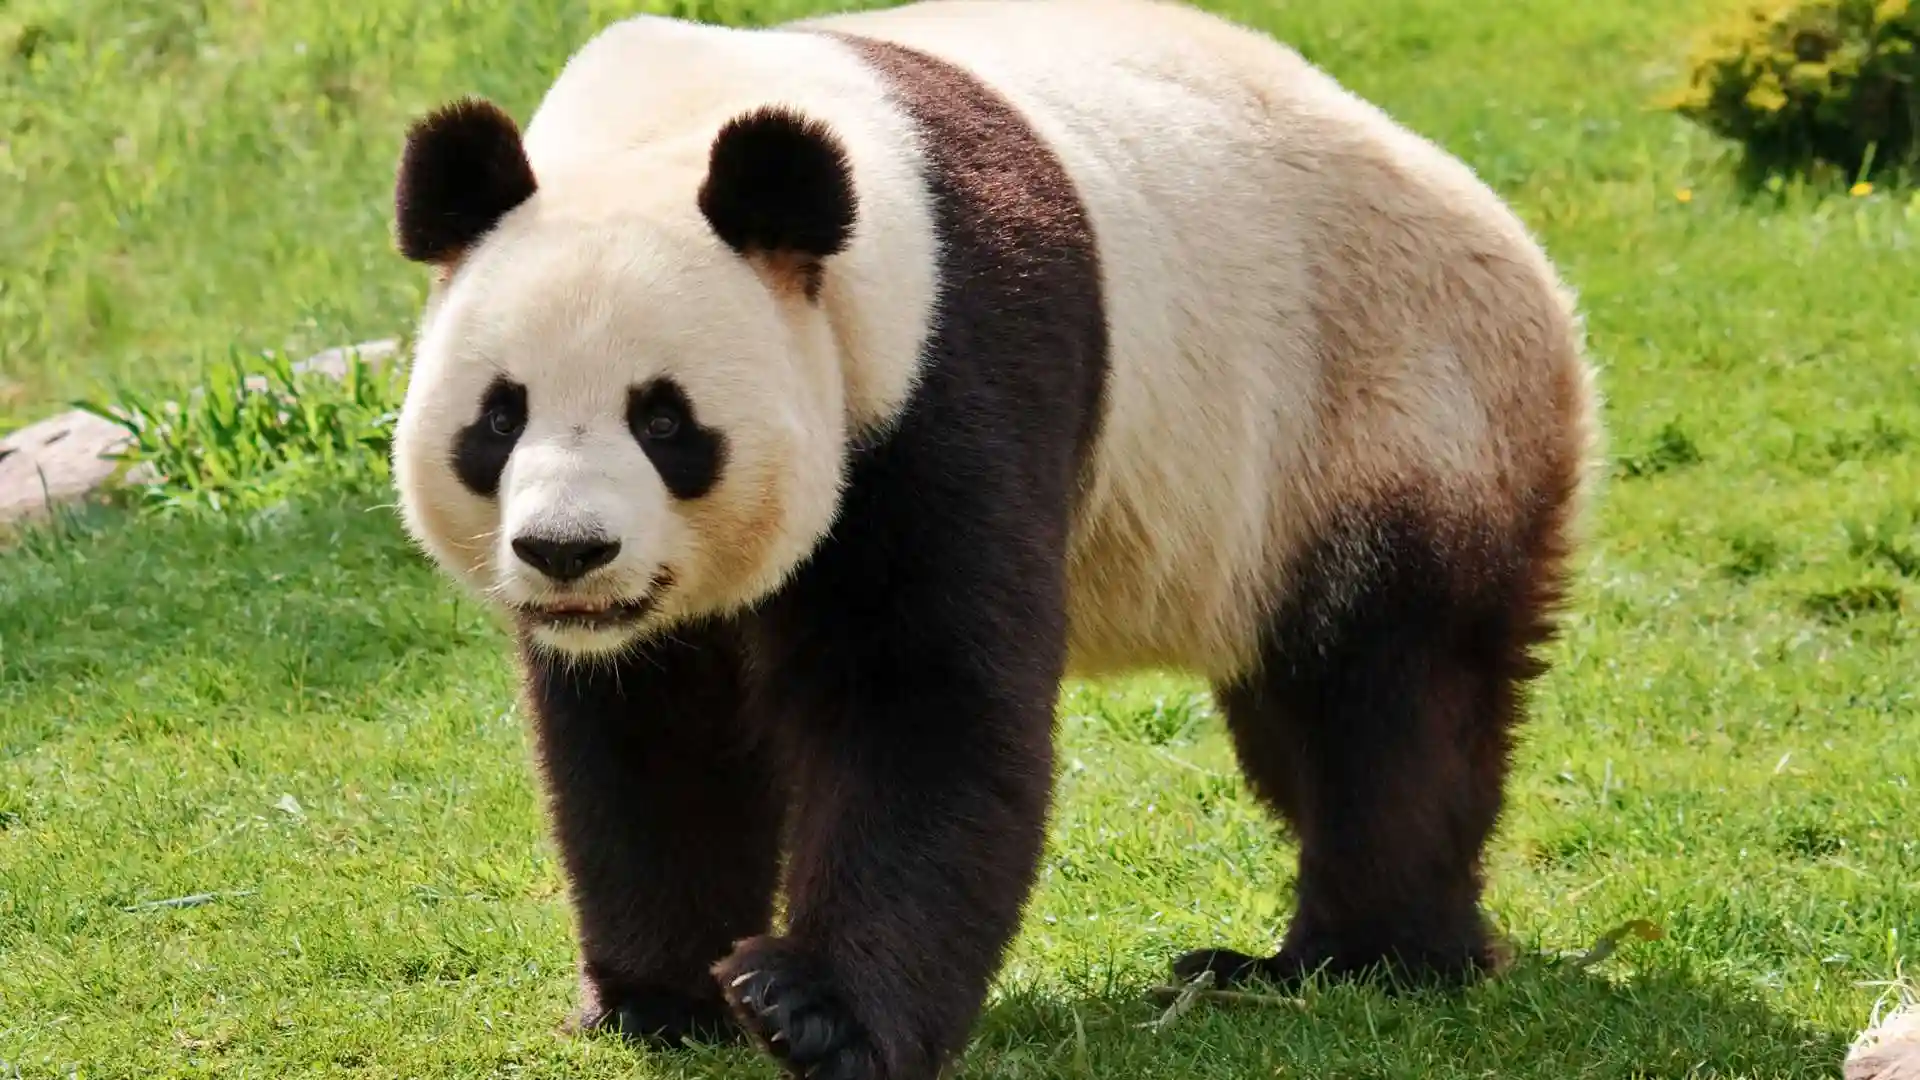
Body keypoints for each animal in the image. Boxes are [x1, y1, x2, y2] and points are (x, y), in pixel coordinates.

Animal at [387, 0, 1602, 1077]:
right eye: (499, 418)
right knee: (1300, 718)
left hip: (1383, 404)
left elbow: (923, 695)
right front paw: (660, 999)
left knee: (1387, 697)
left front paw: (808, 1010)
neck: (674, 126)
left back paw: (1366, 957)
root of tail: (1538, 273)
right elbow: (656, 732)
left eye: (666, 421)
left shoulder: (947, 360)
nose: (567, 553)